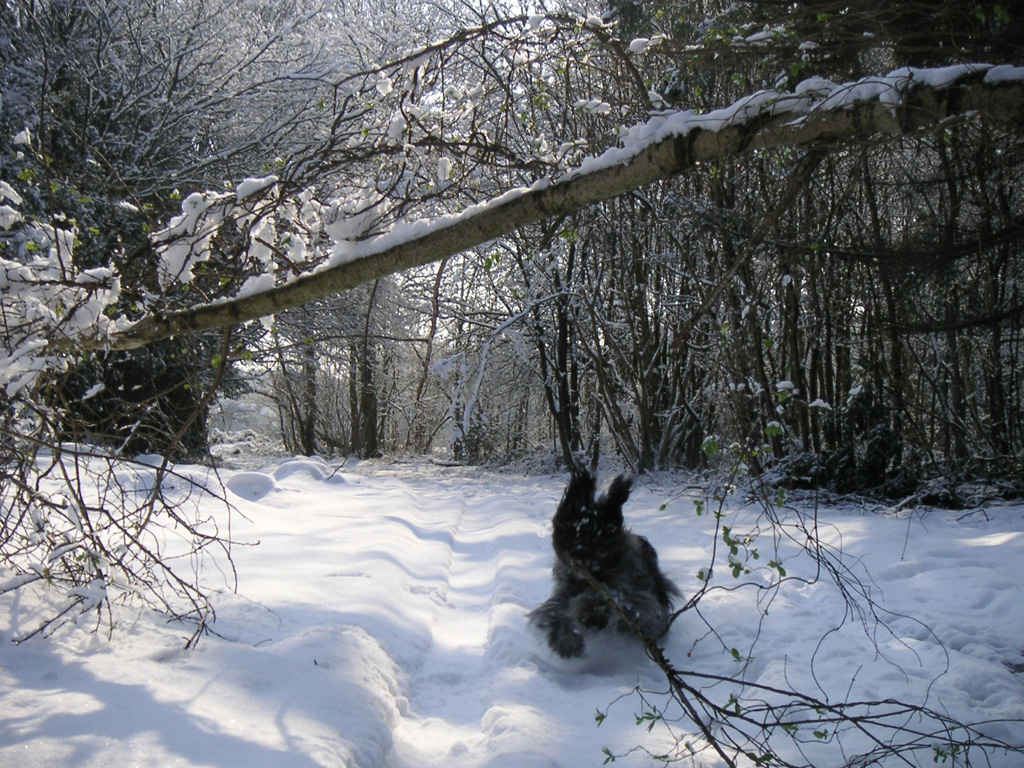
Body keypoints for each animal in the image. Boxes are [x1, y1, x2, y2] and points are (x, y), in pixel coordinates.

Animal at [528, 473, 679, 659]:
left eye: (601, 536)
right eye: (571, 530)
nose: (581, 556)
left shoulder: (631, 593)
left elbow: (606, 598)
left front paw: (591, 614)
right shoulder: (565, 590)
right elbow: (554, 611)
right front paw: (565, 641)